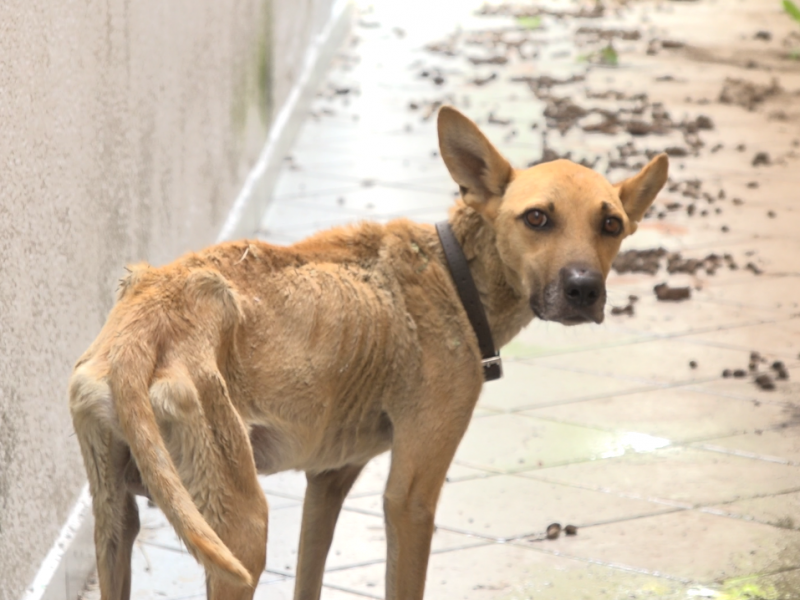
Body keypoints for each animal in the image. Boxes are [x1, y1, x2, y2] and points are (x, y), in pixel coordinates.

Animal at [69, 108, 668, 600]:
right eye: (537, 218)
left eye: (611, 224)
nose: (584, 289)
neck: (454, 273)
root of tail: (142, 326)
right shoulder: (409, 499)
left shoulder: (327, 481)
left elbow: (309, 577)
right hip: (241, 536)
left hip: (115, 526)